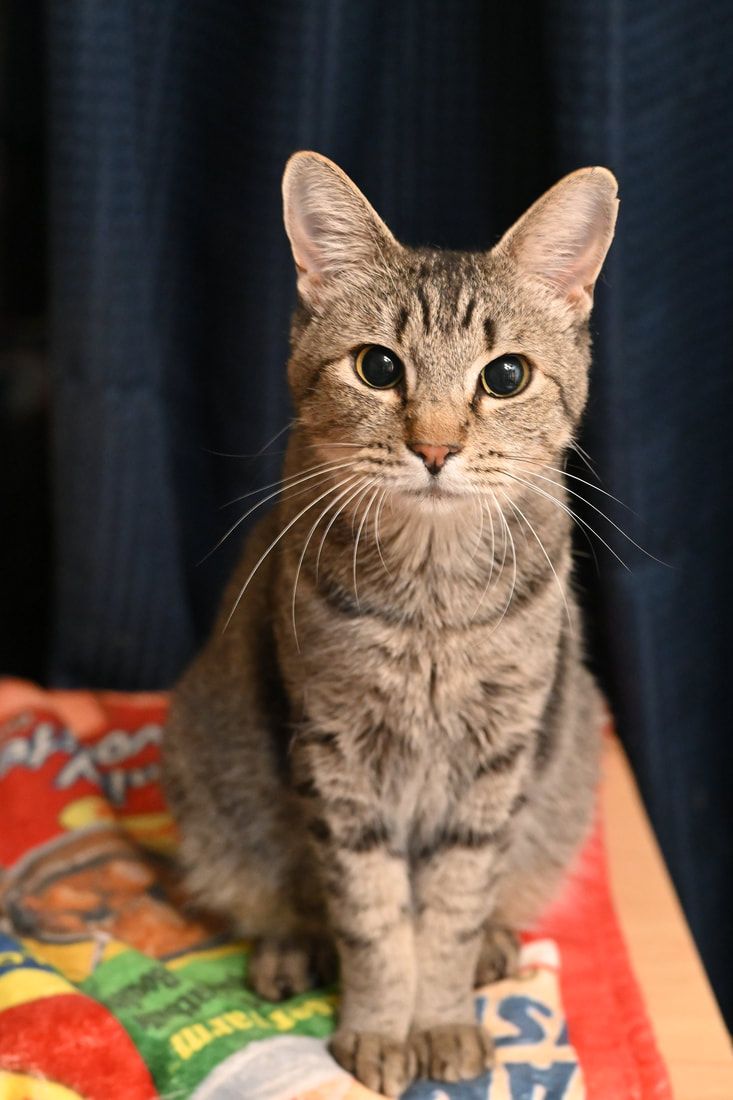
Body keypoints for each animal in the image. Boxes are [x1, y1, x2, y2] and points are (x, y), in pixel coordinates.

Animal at [161, 150, 616, 1095]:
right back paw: (289, 948)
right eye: (377, 367)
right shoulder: (335, 754)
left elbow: (448, 913)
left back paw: (493, 948)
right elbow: (371, 919)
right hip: (210, 775)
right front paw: (376, 1029)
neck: (432, 605)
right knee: (280, 895)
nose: (435, 447)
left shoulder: (497, 757)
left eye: (505, 376)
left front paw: (438, 1018)